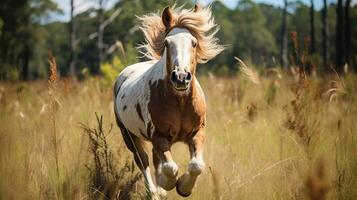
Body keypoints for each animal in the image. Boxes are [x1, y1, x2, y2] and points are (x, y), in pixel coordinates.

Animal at [112, 4, 222, 197]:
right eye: (166, 43)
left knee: (155, 160)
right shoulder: (159, 136)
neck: (180, 103)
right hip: (128, 135)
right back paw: (154, 191)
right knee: (143, 160)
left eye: (194, 42)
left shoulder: (197, 132)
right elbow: (170, 168)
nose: (181, 77)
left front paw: (183, 187)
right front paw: (168, 184)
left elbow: (196, 165)